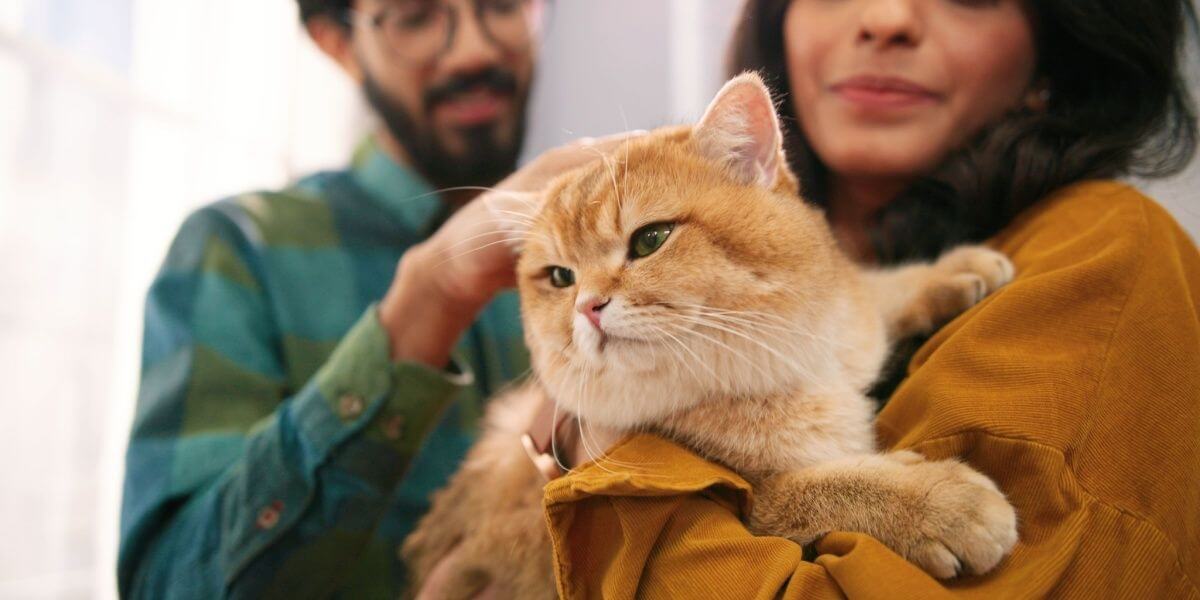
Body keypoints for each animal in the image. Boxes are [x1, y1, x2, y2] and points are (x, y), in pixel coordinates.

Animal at [405, 72, 1022, 597]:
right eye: (560, 277)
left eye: (651, 239)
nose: (587, 306)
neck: (789, 363)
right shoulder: (751, 500)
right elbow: (829, 488)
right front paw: (940, 505)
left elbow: (876, 293)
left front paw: (951, 271)